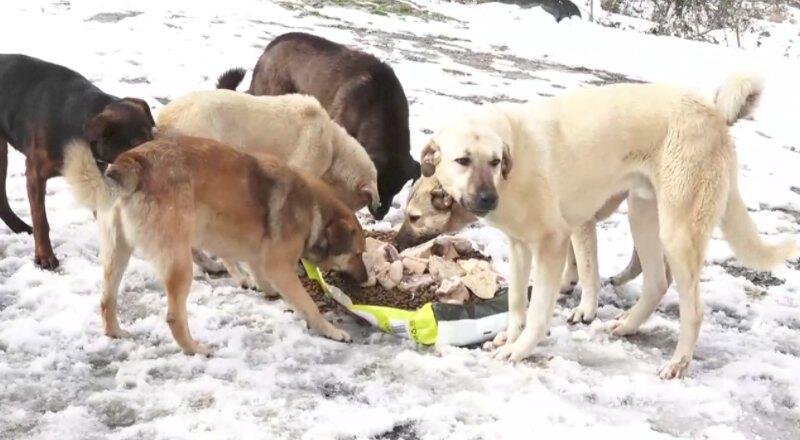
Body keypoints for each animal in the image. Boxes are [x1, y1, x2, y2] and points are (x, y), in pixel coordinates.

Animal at [64, 137, 368, 354]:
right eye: (357, 254)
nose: (366, 280)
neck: (315, 210)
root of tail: (132, 162)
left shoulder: (262, 259)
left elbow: (264, 277)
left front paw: (267, 290)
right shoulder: (279, 266)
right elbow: (309, 304)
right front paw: (331, 331)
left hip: (117, 253)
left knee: (107, 299)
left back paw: (115, 332)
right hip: (179, 262)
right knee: (174, 317)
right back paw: (194, 348)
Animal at [418, 73, 792, 378]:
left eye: (494, 162)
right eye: (462, 161)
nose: (487, 200)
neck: (514, 161)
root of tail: (714, 116)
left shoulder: (553, 243)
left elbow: (539, 310)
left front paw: (520, 349)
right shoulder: (520, 245)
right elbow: (515, 304)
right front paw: (508, 337)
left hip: (678, 232)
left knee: (693, 311)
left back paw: (678, 363)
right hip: (642, 215)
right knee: (656, 282)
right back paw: (628, 326)